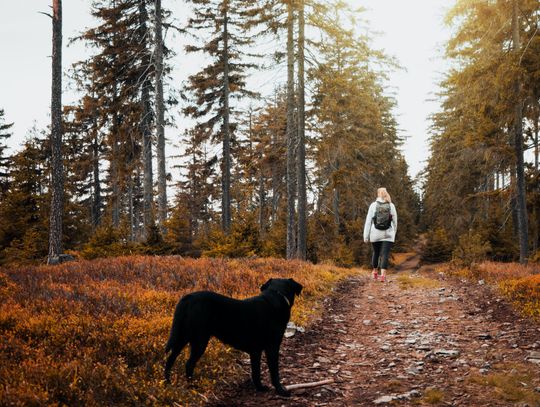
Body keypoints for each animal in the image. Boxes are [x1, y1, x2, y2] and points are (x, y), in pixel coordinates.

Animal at [165, 278, 302, 396]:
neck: (276, 296)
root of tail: (187, 298)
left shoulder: (255, 351)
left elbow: (256, 372)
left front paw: (260, 388)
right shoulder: (272, 347)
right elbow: (274, 372)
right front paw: (281, 390)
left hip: (182, 336)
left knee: (170, 359)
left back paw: (168, 383)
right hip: (199, 340)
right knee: (188, 364)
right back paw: (192, 386)